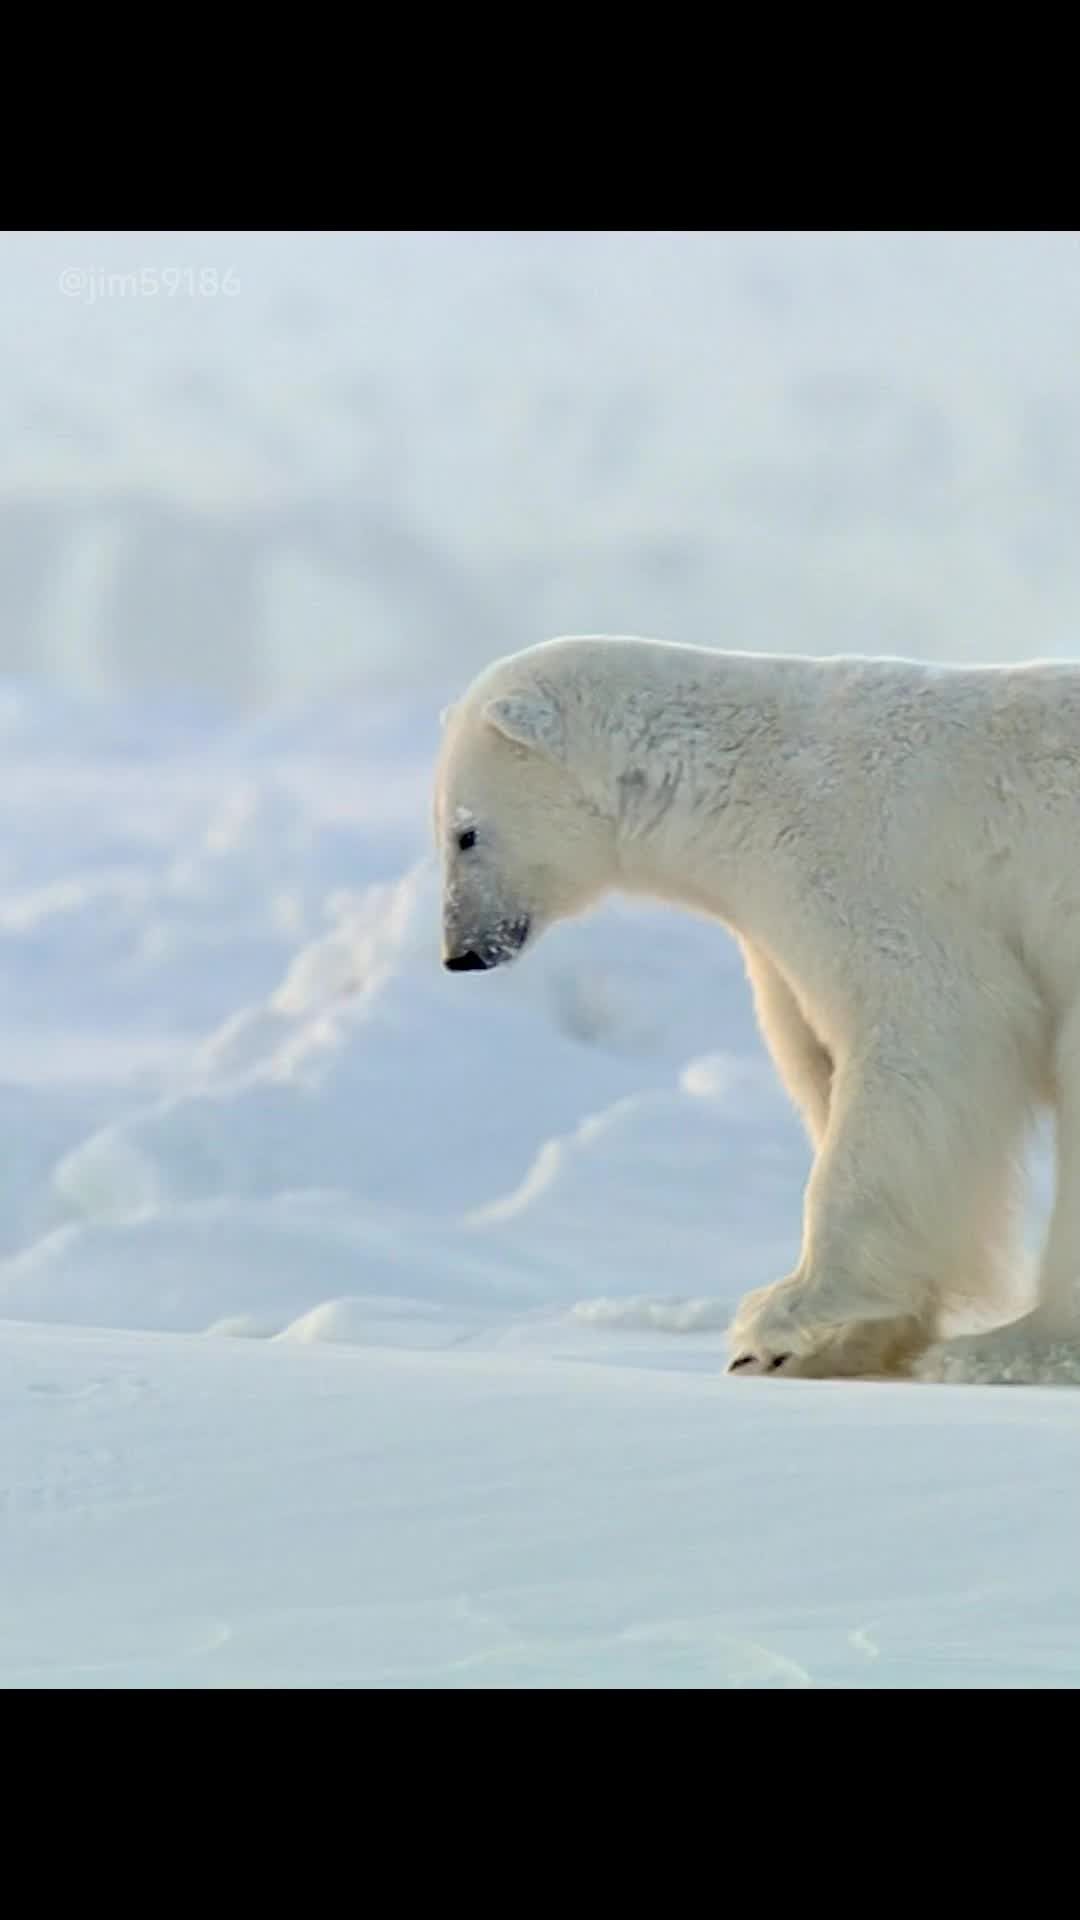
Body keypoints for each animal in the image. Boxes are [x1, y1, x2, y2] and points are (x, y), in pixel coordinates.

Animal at [433, 634, 1080, 1382]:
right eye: (444, 828)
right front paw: (846, 1342)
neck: (747, 782)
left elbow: (933, 1031)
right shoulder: (778, 942)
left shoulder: (870, 872)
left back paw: (1010, 1347)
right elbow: (819, 1063)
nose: (460, 953)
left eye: (465, 834)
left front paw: (780, 1320)